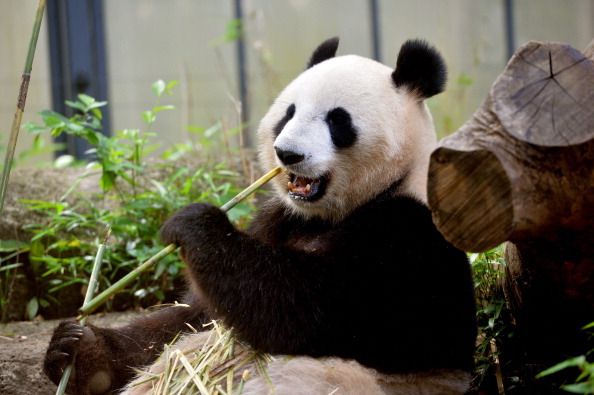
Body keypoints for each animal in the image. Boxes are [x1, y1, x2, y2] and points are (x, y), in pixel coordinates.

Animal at [44, 38, 474, 395]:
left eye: (337, 120)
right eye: (289, 113)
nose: (288, 153)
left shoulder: (407, 238)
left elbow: (303, 307)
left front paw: (195, 224)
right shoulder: (279, 219)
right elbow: (190, 318)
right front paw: (80, 351)